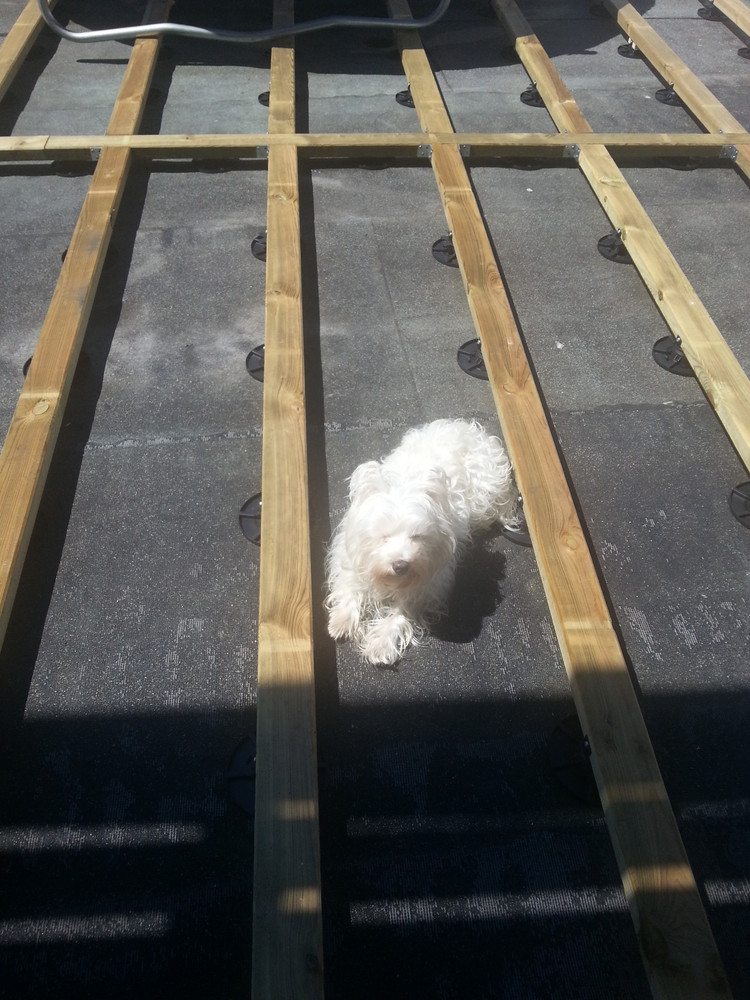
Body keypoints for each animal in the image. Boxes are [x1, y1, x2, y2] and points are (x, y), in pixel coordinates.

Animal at [325, 418, 518, 666]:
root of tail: (471, 429)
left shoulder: (428, 582)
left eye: (416, 536)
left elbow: (402, 612)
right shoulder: (350, 555)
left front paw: (381, 643)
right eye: (384, 537)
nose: (400, 565)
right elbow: (350, 586)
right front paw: (341, 621)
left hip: (488, 492)